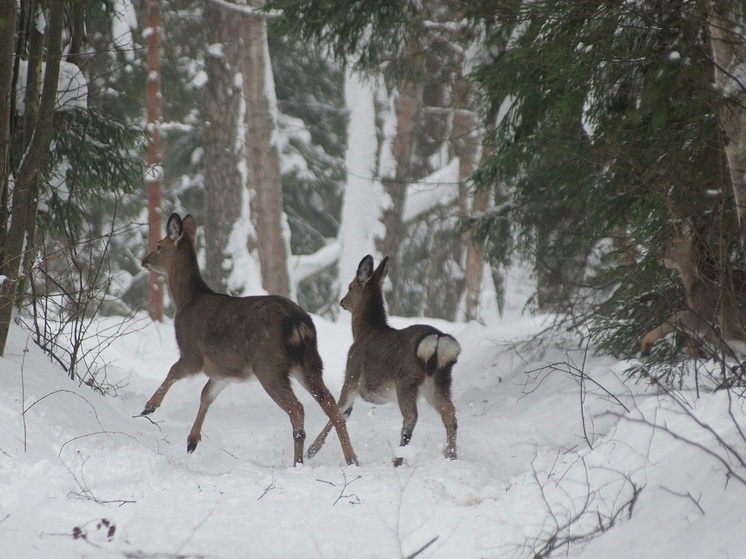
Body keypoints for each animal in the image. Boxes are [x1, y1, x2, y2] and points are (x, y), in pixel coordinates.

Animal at [143, 212, 360, 466]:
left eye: (159, 245)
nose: (144, 260)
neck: (187, 300)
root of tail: (298, 324)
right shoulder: (224, 370)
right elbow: (206, 395)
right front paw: (192, 440)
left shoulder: (192, 353)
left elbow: (173, 372)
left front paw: (149, 406)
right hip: (310, 362)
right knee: (332, 405)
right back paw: (351, 458)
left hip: (268, 365)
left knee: (297, 408)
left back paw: (298, 462)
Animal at [304, 256, 456, 466]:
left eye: (350, 287)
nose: (342, 301)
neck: (363, 332)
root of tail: (438, 340)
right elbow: (344, 414)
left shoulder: (351, 376)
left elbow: (338, 411)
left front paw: (311, 451)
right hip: (439, 381)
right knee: (450, 414)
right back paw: (451, 455)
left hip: (406, 379)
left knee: (411, 417)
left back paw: (398, 459)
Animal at [636, 226, 744, 358]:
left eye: (672, 243)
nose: (659, 257)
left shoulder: (703, 312)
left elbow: (676, 316)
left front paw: (645, 345)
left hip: (729, 318)